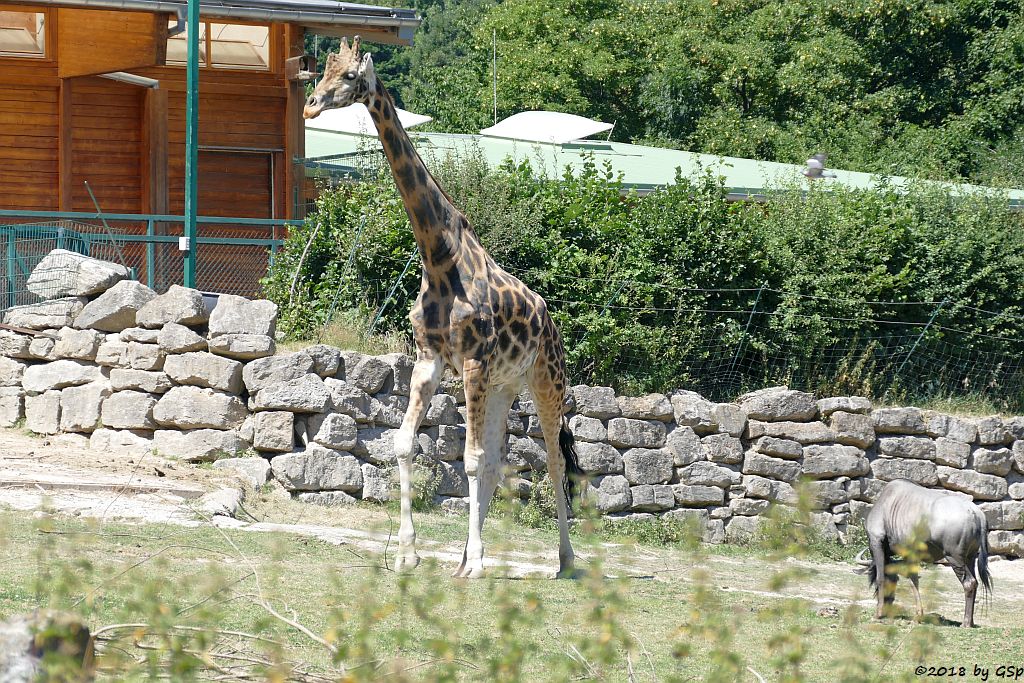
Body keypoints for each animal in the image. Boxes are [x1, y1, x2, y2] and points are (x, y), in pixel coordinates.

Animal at [301, 37, 585, 581]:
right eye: (321, 70)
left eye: (350, 76)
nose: (309, 105)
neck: (438, 257)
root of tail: (550, 322)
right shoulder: (430, 361)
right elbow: (406, 445)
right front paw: (408, 554)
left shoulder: (472, 361)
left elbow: (469, 460)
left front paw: (472, 564)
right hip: (504, 386)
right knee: (497, 460)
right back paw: (466, 557)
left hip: (545, 381)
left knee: (553, 460)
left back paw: (563, 560)